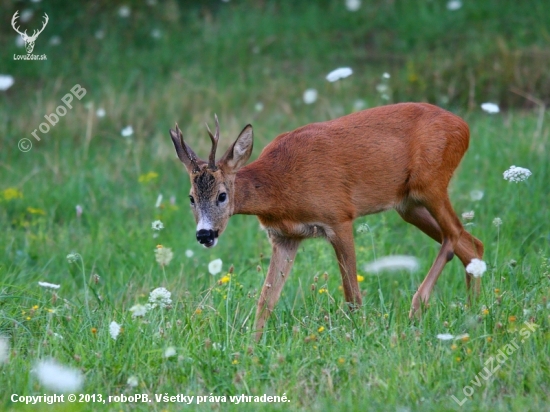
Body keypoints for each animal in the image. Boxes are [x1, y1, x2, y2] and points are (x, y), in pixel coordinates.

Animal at [170, 101, 486, 340]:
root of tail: (464, 126)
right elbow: (265, 301)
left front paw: (360, 335)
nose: (205, 235)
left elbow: (352, 295)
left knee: (455, 235)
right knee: (472, 243)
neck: (279, 186)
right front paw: (251, 348)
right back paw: (473, 312)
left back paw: (418, 306)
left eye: (222, 195)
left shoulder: (339, 216)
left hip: (431, 182)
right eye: (191, 198)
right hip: (408, 204)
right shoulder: (284, 237)